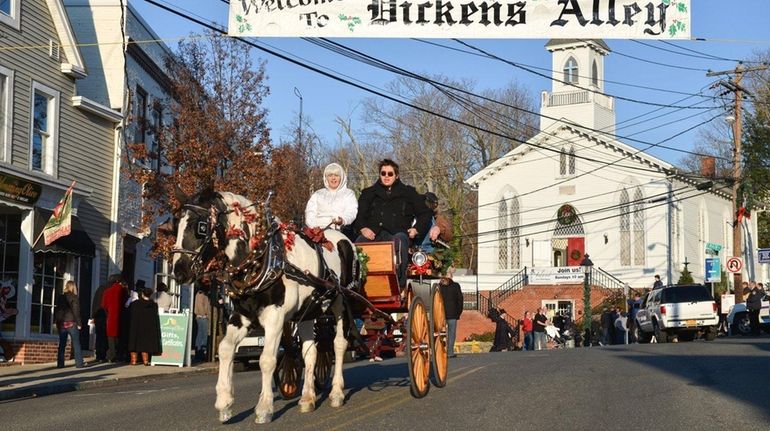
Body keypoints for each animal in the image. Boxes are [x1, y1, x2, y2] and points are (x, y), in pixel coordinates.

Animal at [171, 190, 356, 426]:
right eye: (175, 224)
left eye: (200, 227)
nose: (179, 271)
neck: (260, 256)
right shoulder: (241, 316)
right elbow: (225, 349)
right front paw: (224, 403)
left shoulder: (275, 317)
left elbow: (267, 360)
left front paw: (264, 408)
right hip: (307, 312)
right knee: (310, 352)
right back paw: (307, 398)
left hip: (342, 303)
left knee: (339, 345)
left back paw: (336, 393)